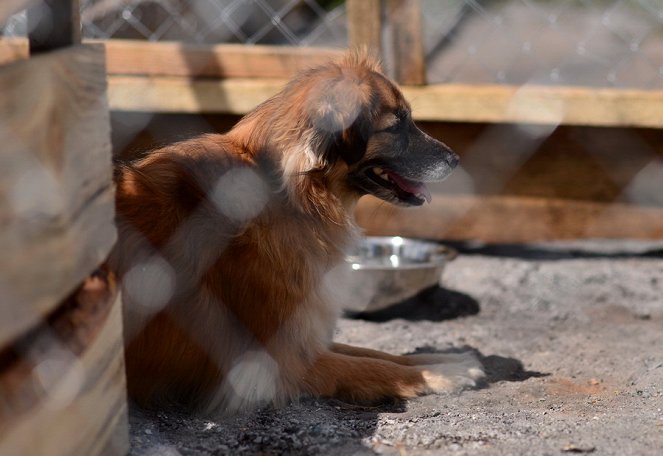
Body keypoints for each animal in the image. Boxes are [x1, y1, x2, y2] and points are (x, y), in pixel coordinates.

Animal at [111, 50, 486, 414]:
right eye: (395, 126)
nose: (455, 159)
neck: (297, 195)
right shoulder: (275, 362)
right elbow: (372, 367)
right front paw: (441, 373)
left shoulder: (305, 336)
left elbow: (375, 353)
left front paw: (445, 359)